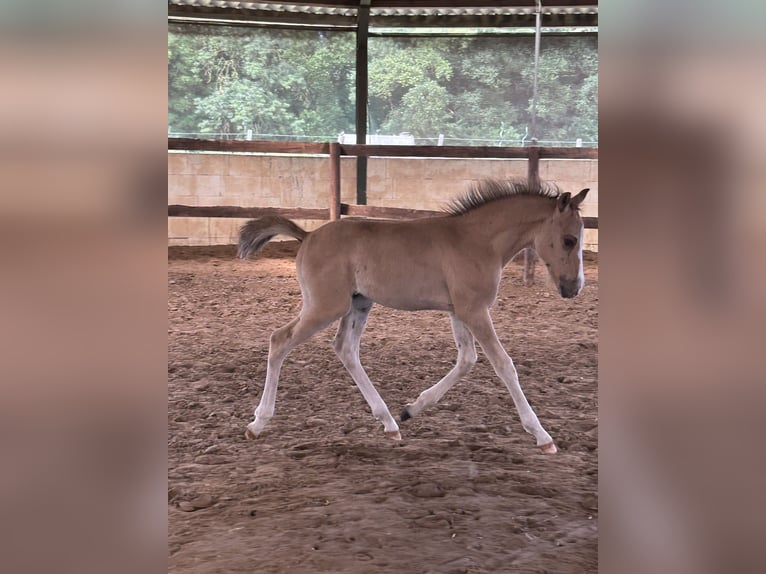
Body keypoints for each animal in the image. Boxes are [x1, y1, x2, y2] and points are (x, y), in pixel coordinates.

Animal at [238, 180, 589, 453]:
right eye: (569, 240)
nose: (574, 287)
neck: (478, 240)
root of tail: (307, 236)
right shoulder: (475, 310)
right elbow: (504, 365)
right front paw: (542, 436)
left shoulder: (460, 310)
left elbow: (466, 360)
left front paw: (411, 409)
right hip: (326, 306)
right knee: (279, 340)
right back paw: (257, 422)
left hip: (359, 303)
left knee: (345, 349)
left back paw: (390, 422)